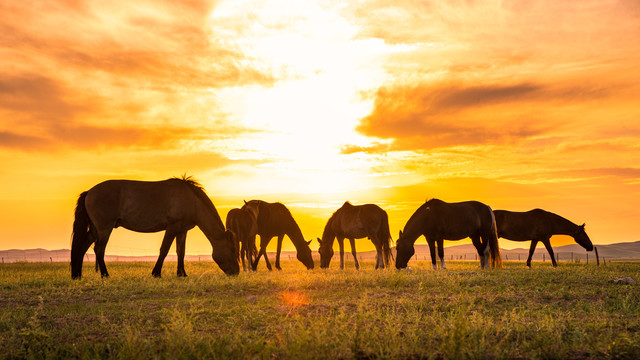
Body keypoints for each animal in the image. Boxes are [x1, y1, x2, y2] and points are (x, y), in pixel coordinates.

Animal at [69, 176, 240, 278]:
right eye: (232, 250)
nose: (236, 272)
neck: (191, 200)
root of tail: (89, 192)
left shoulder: (182, 230)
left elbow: (181, 252)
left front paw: (182, 274)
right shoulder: (172, 228)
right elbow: (164, 250)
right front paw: (156, 273)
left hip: (95, 229)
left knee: (82, 247)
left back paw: (77, 274)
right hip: (105, 229)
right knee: (99, 249)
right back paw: (105, 275)